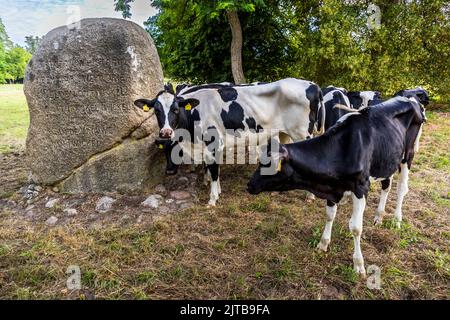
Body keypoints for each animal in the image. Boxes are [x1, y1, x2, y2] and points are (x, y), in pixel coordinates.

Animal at [133, 79, 324, 206]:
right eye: (156, 111)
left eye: (175, 109)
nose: (166, 131)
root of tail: (312, 84)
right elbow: (214, 171)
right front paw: (217, 190)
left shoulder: (213, 143)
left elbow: (214, 171)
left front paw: (212, 199)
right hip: (285, 133)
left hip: (302, 133)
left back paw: (310, 196)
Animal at [246, 97, 426, 276]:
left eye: (269, 165)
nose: (249, 185)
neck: (342, 149)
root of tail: (411, 99)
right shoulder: (331, 186)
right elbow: (329, 215)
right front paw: (323, 243)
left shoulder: (361, 187)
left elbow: (356, 228)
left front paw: (359, 265)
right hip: (387, 159)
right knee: (386, 185)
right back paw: (379, 217)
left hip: (408, 154)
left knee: (401, 188)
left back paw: (396, 220)